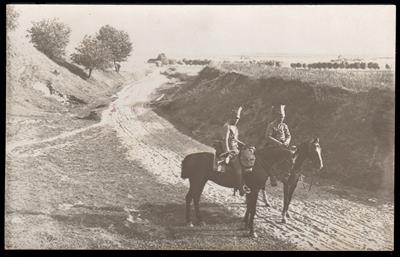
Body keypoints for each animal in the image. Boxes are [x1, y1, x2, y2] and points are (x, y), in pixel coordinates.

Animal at [180, 138, 322, 236]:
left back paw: (198, 220)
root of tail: (189, 157)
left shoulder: (255, 190)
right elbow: (252, 209)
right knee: (190, 198)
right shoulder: (255, 189)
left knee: (194, 198)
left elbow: (250, 208)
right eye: (314, 150)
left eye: (320, 150)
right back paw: (189, 221)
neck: (260, 163)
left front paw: (247, 226)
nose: (288, 176)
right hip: (197, 181)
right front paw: (252, 231)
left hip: (199, 182)